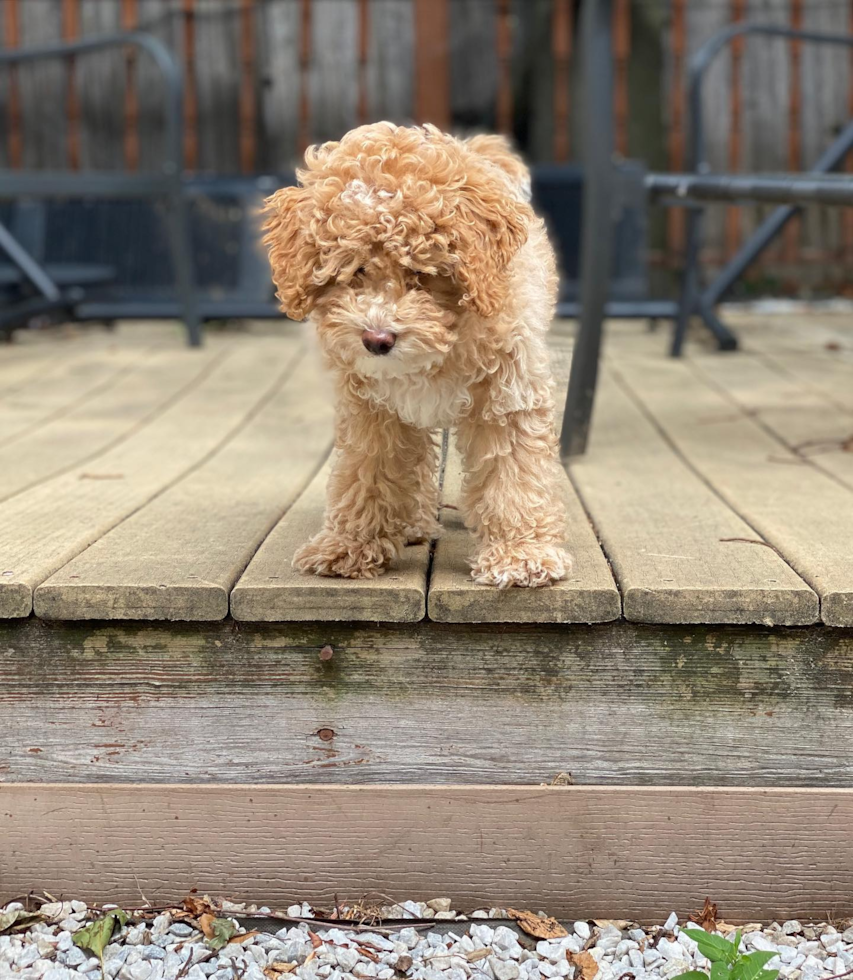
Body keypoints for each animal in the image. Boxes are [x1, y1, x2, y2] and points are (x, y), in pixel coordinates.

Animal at [262, 118, 568, 584]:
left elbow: (513, 470)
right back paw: (412, 523)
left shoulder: (507, 394)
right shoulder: (369, 405)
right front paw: (351, 544)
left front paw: (520, 553)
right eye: (355, 270)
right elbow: (366, 468)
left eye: (422, 274)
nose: (377, 339)